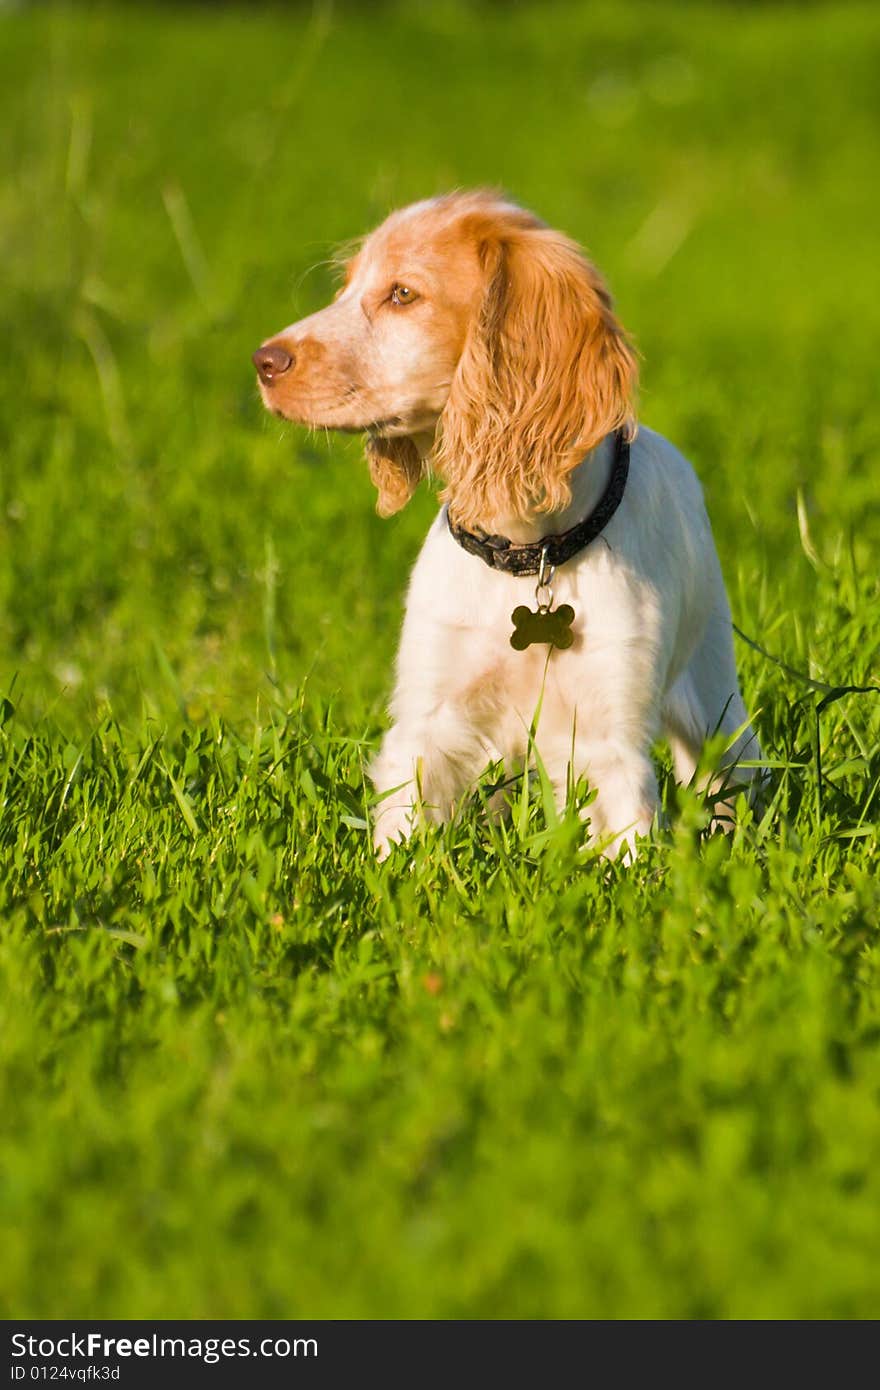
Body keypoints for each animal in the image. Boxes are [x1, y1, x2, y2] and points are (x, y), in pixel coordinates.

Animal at [254, 189, 761, 850]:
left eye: (403, 294)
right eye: (345, 288)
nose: (263, 361)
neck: (527, 553)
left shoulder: (610, 738)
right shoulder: (428, 718)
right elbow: (402, 840)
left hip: (714, 693)